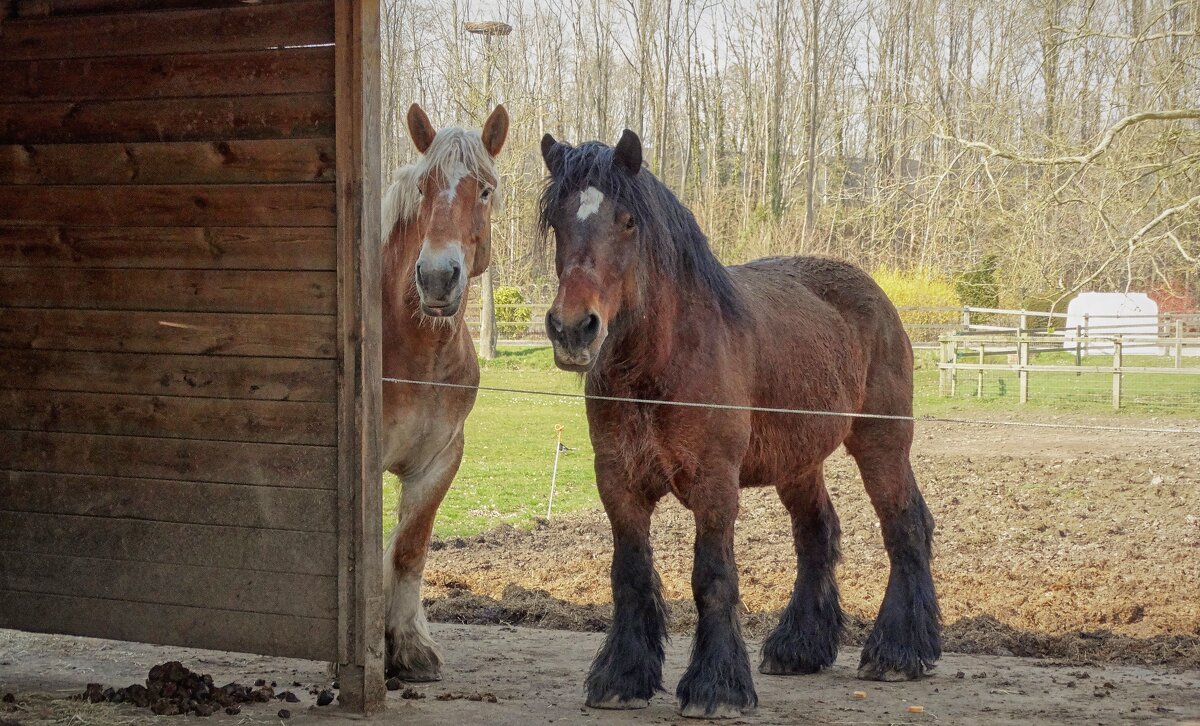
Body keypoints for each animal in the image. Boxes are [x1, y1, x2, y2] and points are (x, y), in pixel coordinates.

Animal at [540, 129, 940, 715]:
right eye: (556, 219)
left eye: (628, 221)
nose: (573, 328)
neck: (661, 362)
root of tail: (878, 297)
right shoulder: (618, 481)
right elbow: (630, 575)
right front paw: (621, 678)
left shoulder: (714, 483)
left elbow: (712, 578)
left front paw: (717, 687)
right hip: (798, 464)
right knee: (817, 534)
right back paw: (799, 647)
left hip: (881, 443)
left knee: (905, 526)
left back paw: (899, 653)